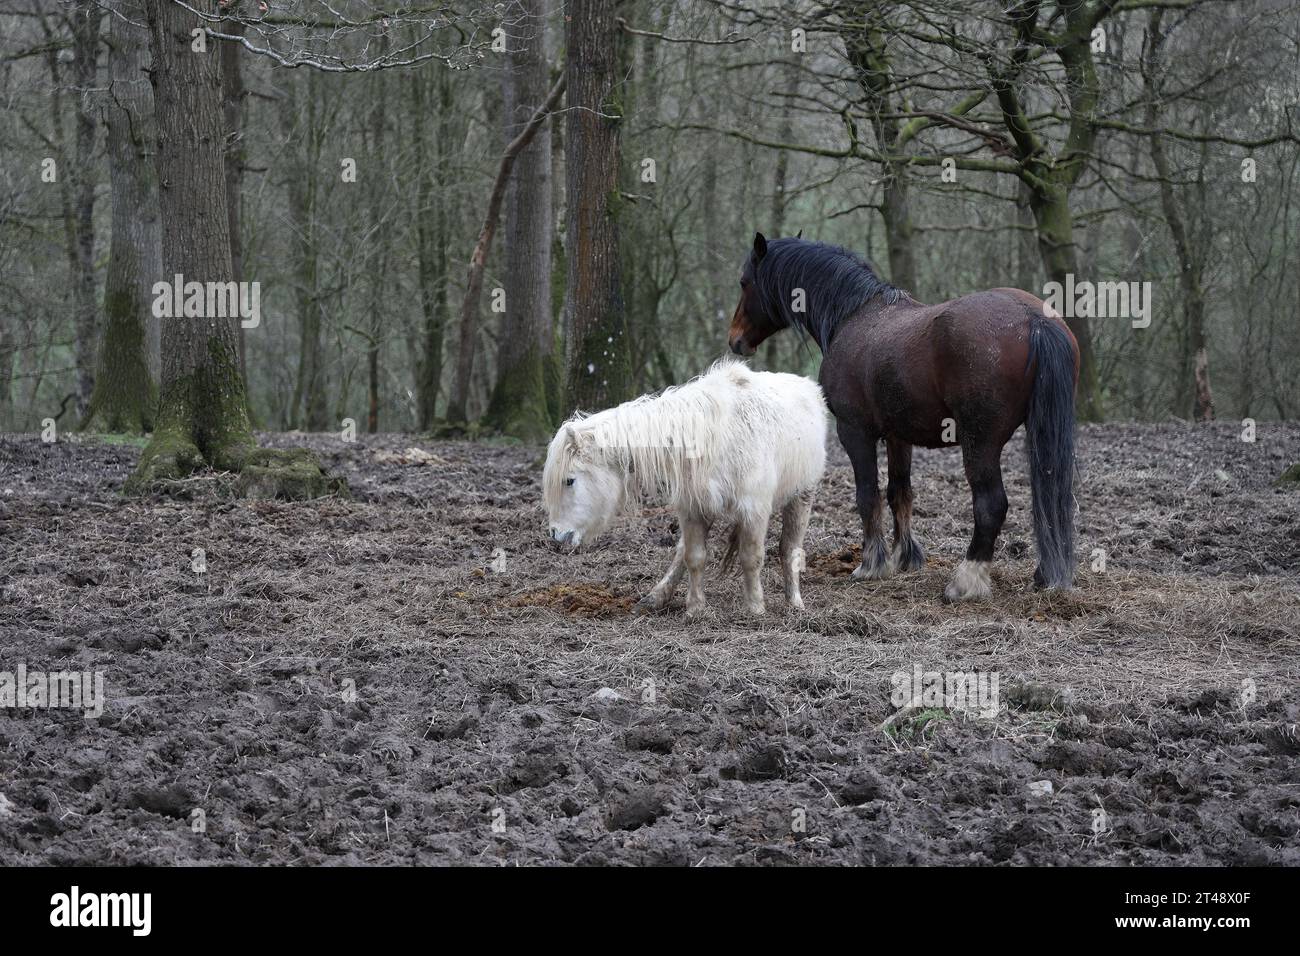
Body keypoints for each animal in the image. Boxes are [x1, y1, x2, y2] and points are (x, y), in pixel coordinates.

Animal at [543, 361, 826, 621]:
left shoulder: (753, 510)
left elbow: (751, 557)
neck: (713, 436)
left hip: (802, 496)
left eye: (569, 481)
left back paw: (794, 602)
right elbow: (694, 556)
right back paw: (655, 597)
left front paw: (755, 608)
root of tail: (810, 388)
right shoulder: (693, 508)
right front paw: (695, 609)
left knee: (789, 549)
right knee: (681, 552)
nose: (557, 534)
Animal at [728, 234, 1081, 600]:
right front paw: (905, 557)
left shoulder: (854, 432)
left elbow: (867, 495)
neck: (853, 315)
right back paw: (1045, 574)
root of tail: (1035, 319)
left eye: (744, 282)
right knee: (1050, 500)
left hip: (980, 443)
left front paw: (872, 563)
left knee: (990, 505)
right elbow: (899, 492)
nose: (735, 339)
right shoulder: (898, 436)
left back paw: (966, 580)